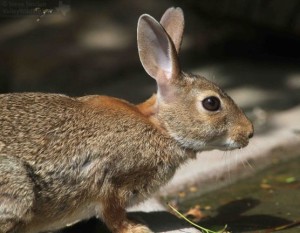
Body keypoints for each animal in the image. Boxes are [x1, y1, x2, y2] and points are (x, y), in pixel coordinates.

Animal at [0, 6, 253, 233]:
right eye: (211, 103)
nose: (249, 132)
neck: (162, 128)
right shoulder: (112, 183)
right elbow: (113, 215)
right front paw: (137, 228)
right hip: (18, 187)